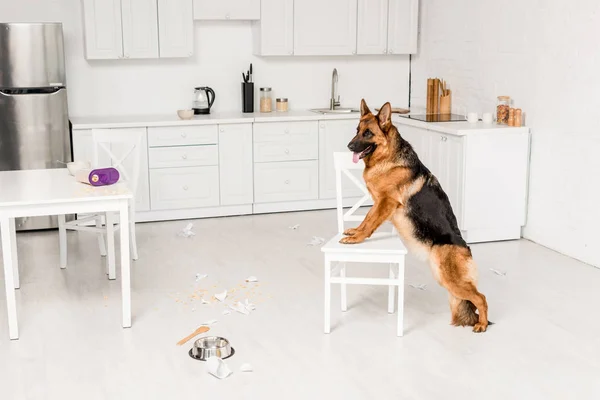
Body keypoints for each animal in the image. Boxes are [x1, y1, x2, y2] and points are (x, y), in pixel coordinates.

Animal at [340, 99, 490, 332]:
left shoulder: (386, 202)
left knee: (481, 298)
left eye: (368, 133)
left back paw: (482, 324)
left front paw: (356, 238)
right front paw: (354, 231)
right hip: (446, 279)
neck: (388, 157)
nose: (348, 146)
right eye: (357, 130)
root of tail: (465, 246)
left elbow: (370, 222)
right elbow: (366, 220)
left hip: (449, 278)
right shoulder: (379, 203)